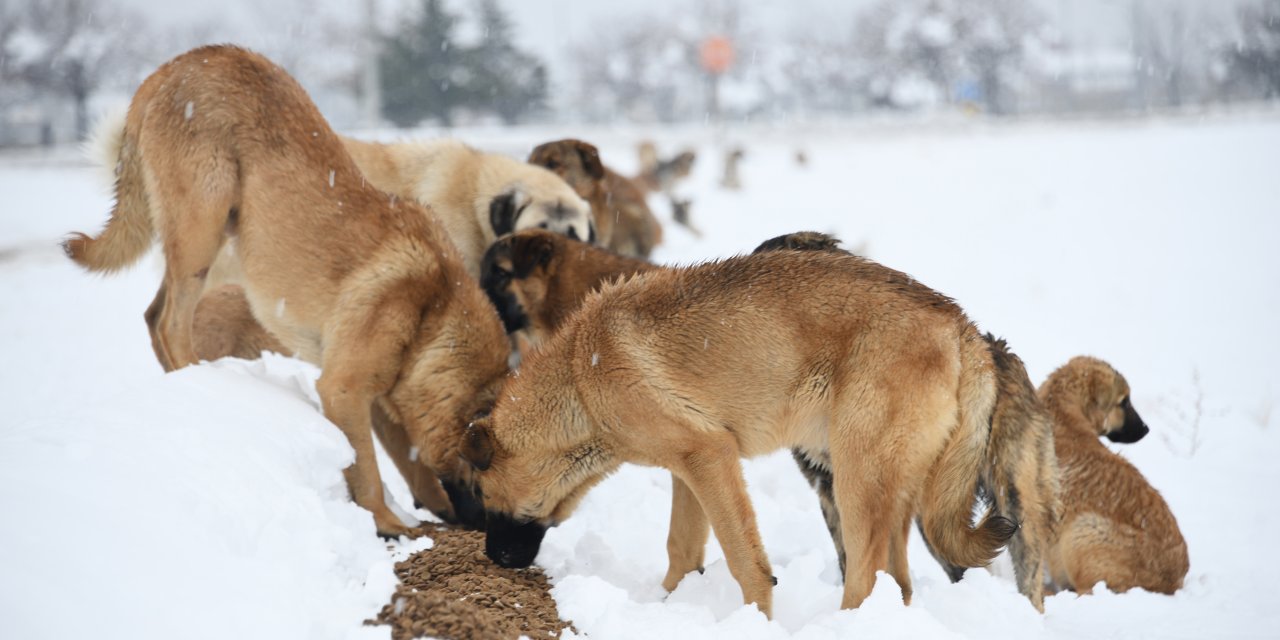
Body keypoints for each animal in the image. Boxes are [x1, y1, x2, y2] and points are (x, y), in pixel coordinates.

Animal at [463, 247, 1049, 616]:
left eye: (483, 497)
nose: (493, 560)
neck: (580, 381)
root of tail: (963, 325)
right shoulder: (689, 472)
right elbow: (681, 551)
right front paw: (670, 609)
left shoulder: (711, 457)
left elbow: (748, 565)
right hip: (892, 495)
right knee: (897, 585)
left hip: (855, 484)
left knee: (864, 580)